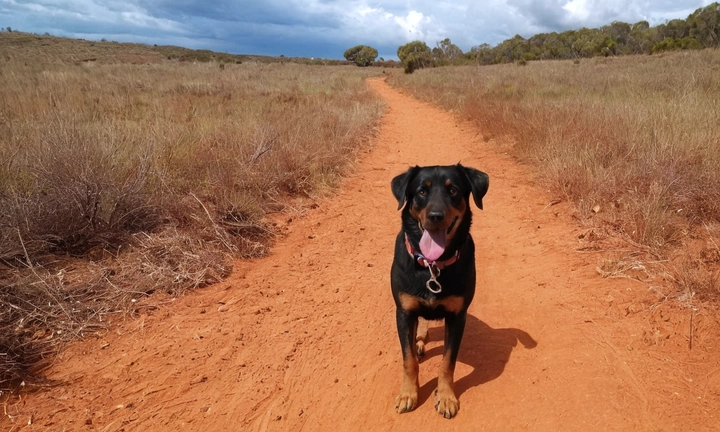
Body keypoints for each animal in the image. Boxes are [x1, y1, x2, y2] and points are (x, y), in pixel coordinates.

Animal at [390, 163, 486, 418]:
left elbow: (447, 362)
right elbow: (408, 360)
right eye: (422, 191)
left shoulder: (457, 316)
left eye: (453, 190)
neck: (433, 265)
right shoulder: (404, 313)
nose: (435, 216)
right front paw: (408, 394)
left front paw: (446, 397)